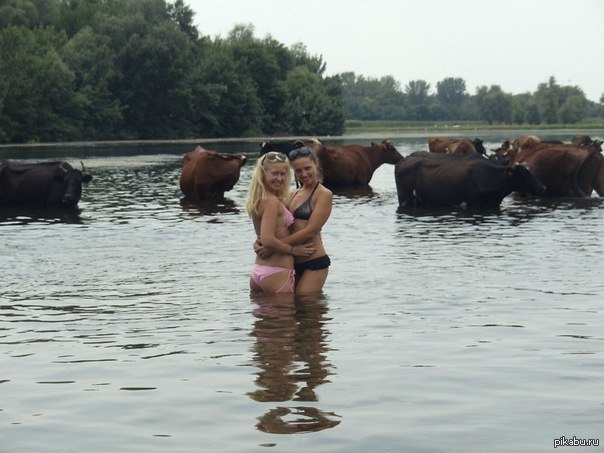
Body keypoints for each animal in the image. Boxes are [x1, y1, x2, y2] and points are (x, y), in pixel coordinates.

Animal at [394, 152, 544, 208]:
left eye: (530, 171)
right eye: (524, 174)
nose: (543, 188)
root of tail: (404, 159)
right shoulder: (473, 203)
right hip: (405, 198)